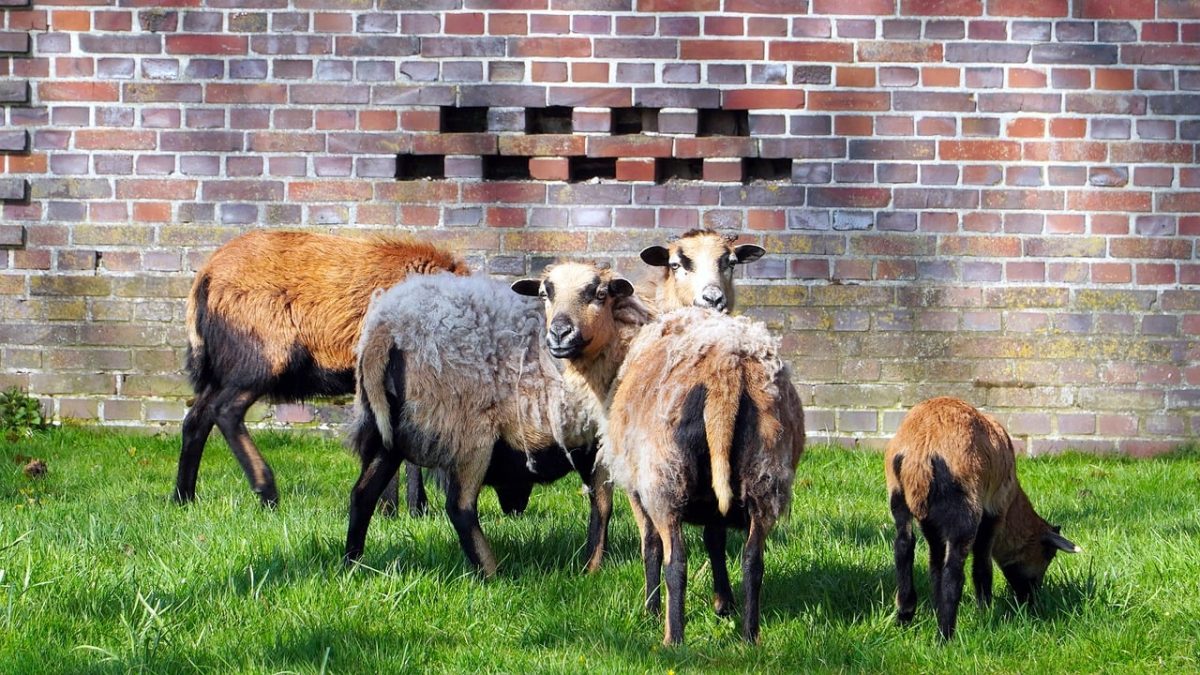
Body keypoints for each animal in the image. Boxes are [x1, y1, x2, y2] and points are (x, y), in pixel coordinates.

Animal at [175, 229, 467, 512]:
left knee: (196, 419)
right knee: (225, 411)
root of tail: (205, 277)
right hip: (260, 359)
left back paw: (182, 498)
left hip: (223, 369)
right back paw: (268, 494)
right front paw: (392, 510)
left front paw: (413, 509)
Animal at [345, 267, 656, 577]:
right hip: (468, 432)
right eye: (544, 293)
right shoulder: (601, 440)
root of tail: (385, 329)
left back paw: (353, 563)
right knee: (459, 506)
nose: (559, 335)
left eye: (600, 294)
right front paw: (592, 567)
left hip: (390, 433)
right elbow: (602, 503)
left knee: (362, 494)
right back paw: (492, 572)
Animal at [885, 396, 1080, 641]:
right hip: (965, 512)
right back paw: (945, 636)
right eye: (1048, 554)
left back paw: (905, 615)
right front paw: (985, 612)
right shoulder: (993, 515)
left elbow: (934, 567)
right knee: (953, 572)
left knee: (903, 548)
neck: (1014, 502)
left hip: (899, 499)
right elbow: (982, 565)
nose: (1031, 599)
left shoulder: (932, 527)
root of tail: (919, 453)